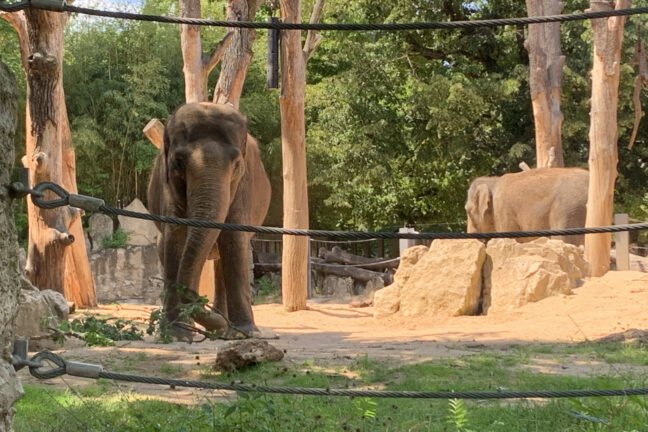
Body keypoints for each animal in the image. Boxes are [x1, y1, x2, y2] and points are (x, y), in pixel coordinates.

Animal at [147, 102, 270, 340]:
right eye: (178, 162)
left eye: (237, 164)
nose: (218, 325)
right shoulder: (168, 188)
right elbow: (174, 238)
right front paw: (176, 335)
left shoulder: (243, 188)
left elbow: (233, 239)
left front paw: (246, 333)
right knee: (164, 249)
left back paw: (226, 329)